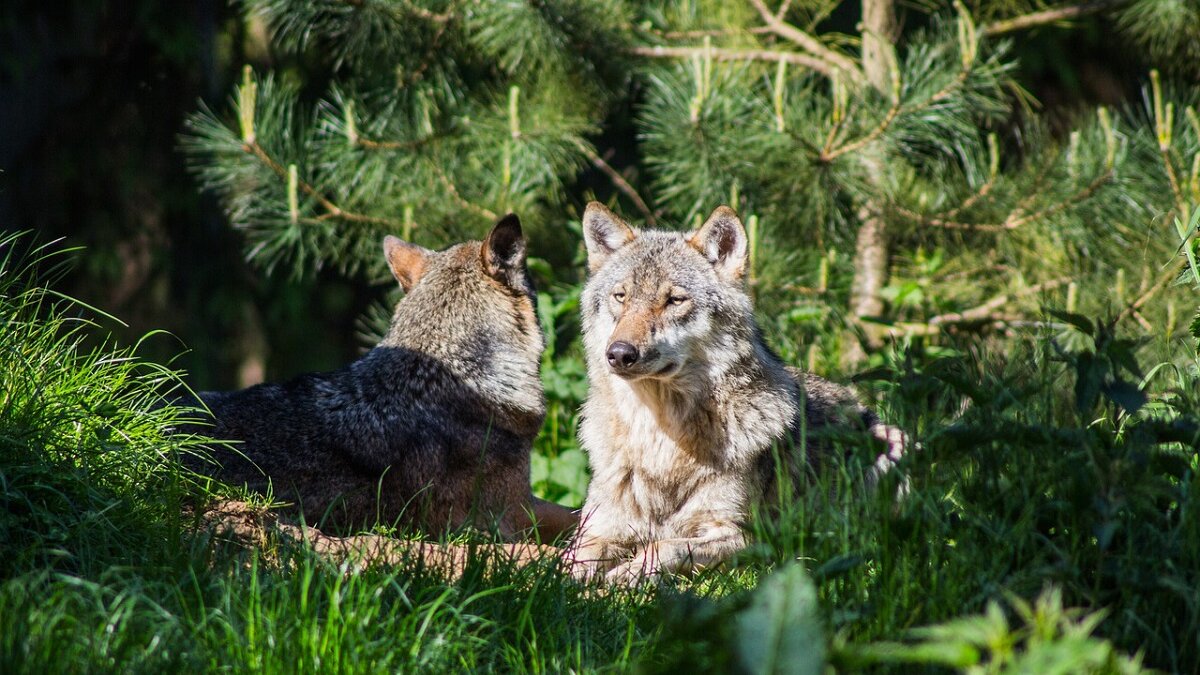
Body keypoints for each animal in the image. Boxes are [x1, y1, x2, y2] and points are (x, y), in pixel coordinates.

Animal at [568, 201, 902, 581]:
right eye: (621, 297)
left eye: (675, 300)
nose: (620, 353)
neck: (660, 441)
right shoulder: (600, 527)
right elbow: (571, 559)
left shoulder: (749, 539)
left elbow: (664, 546)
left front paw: (626, 576)